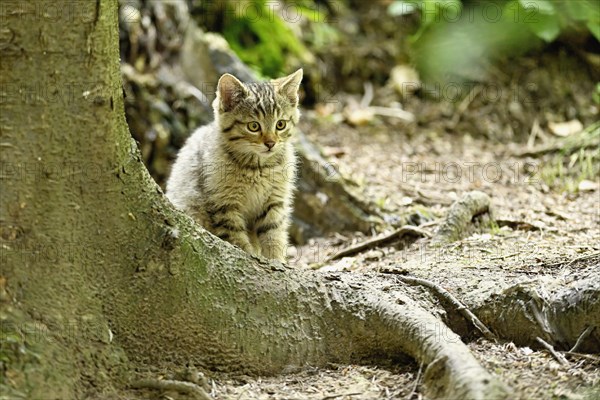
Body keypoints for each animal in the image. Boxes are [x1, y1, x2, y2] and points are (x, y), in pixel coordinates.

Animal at [165, 69, 302, 262]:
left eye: (280, 124)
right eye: (254, 126)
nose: (271, 143)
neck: (258, 168)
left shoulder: (275, 202)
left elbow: (274, 234)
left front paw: (277, 261)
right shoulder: (224, 205)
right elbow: (237, 239)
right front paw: (250, 257)